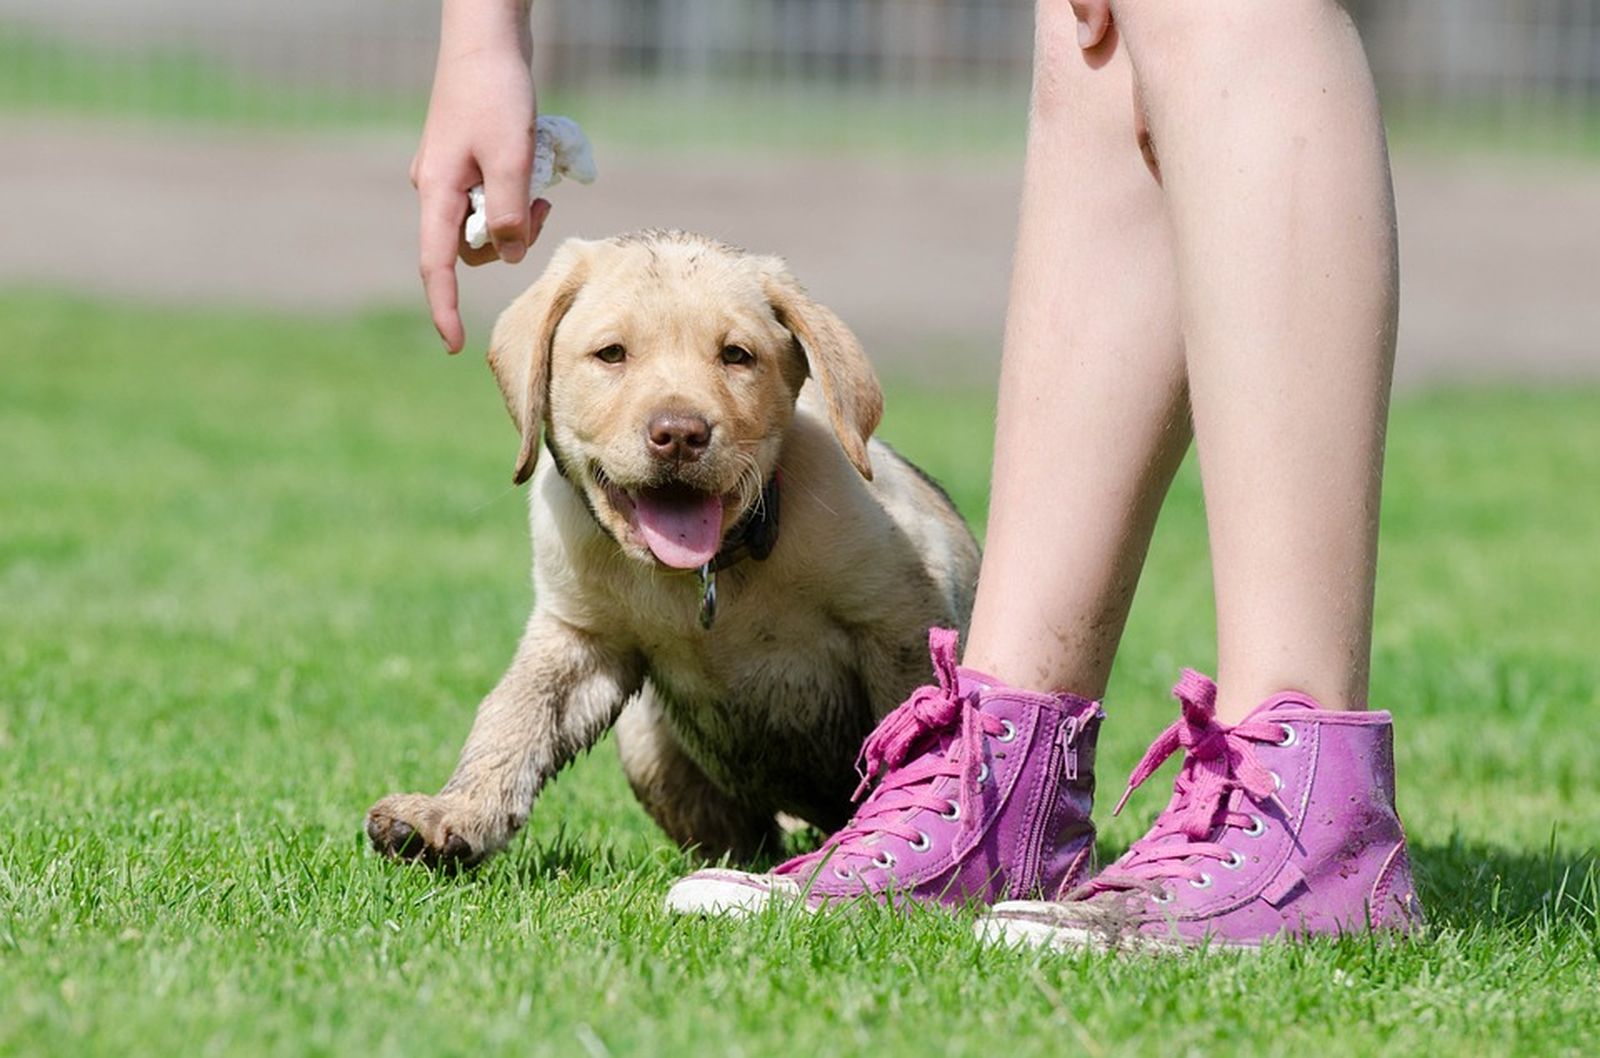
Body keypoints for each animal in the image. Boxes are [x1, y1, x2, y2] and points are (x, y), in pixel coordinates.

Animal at [368, 230, 972, 864]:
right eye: (611, 354)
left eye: (737, 355)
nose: (680, 435)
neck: (707, 573)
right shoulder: (577, 638)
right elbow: (512, 718)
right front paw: (455, 812)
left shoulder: (901, 622)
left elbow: (915, 731)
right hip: (646, 742)